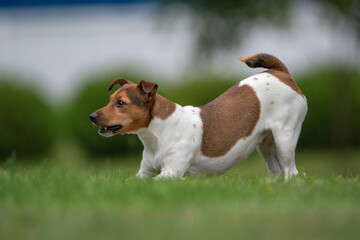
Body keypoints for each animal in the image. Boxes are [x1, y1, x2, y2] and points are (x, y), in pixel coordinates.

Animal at [89, 53, 306, 180]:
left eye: (120, 103)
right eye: (110, 99)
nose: (91, 116)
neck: (159, 133)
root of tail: (281, 73)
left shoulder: (171, 173)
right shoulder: (143, 172)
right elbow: (133, 180)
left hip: (285, 136)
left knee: (291, 170)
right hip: (266, 143)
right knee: (277, 169)